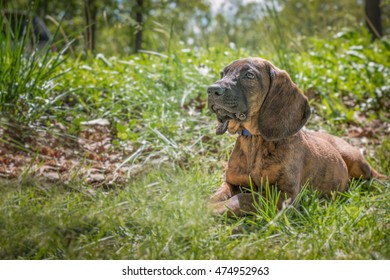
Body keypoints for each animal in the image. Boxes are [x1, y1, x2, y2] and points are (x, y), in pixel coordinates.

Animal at [207, 57, 384, 217]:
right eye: (223, 73)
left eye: (249, 75)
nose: (211, 90)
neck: (254, 139)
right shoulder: (231, 182)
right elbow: (217, 194)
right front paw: (204, 205)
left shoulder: (283, 196)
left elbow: (241, 198)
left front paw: (214, 209)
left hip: (355, 160)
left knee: (373, 174)